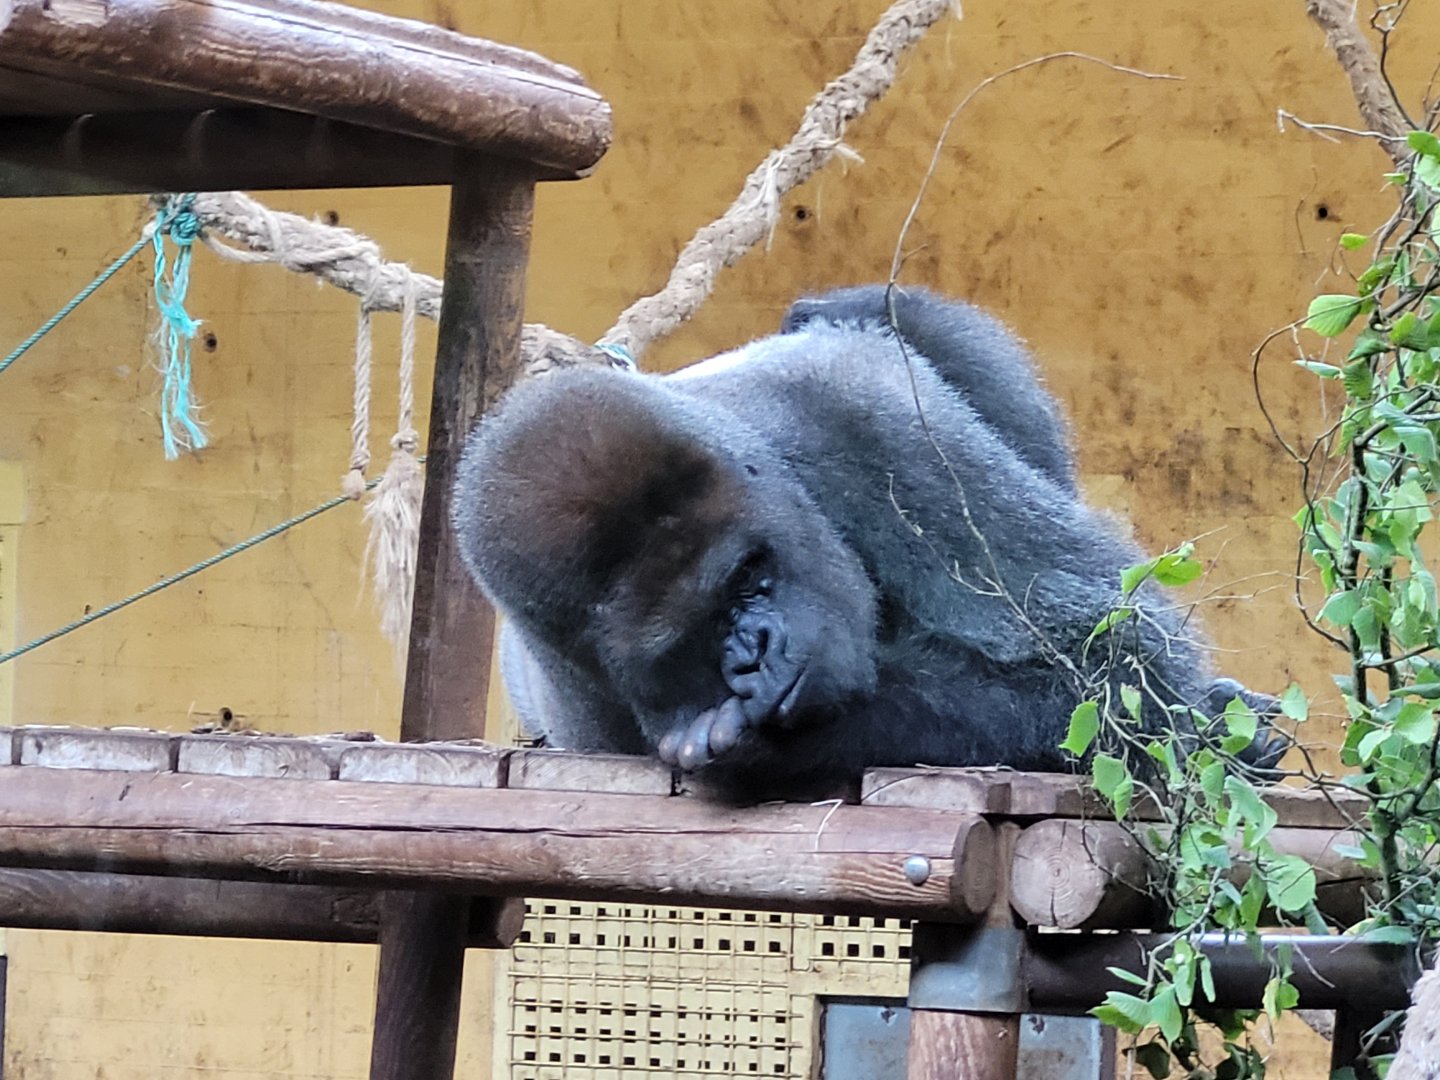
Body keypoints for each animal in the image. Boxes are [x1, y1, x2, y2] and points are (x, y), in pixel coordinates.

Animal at [452, 284, 1284, 801]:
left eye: (750, 580)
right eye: (684, 644)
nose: (755, 649)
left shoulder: (853, 408)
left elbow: (1109, 652)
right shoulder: (596, 721)